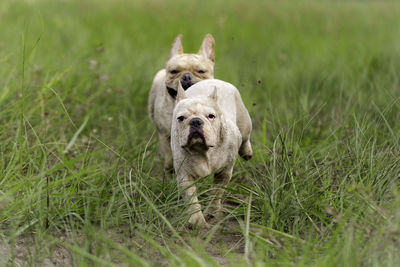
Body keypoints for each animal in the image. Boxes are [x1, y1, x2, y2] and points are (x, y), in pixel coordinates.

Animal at [148, 34, 216, 174]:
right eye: (174, 71)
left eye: (201, 71)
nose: (186, 76)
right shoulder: (165, 134)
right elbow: (169, 152)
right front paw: (170, 168)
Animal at [170, 79, 252, 228]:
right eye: (181, 118)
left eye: (211, 116)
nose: (195, 121)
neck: (202, 150)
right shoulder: (184, 175)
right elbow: (191, 197)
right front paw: (197, 220)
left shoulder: (224, 172)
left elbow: (216, 193)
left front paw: (212, 213)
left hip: (244, 122)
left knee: (245, 138)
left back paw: (247, 152)